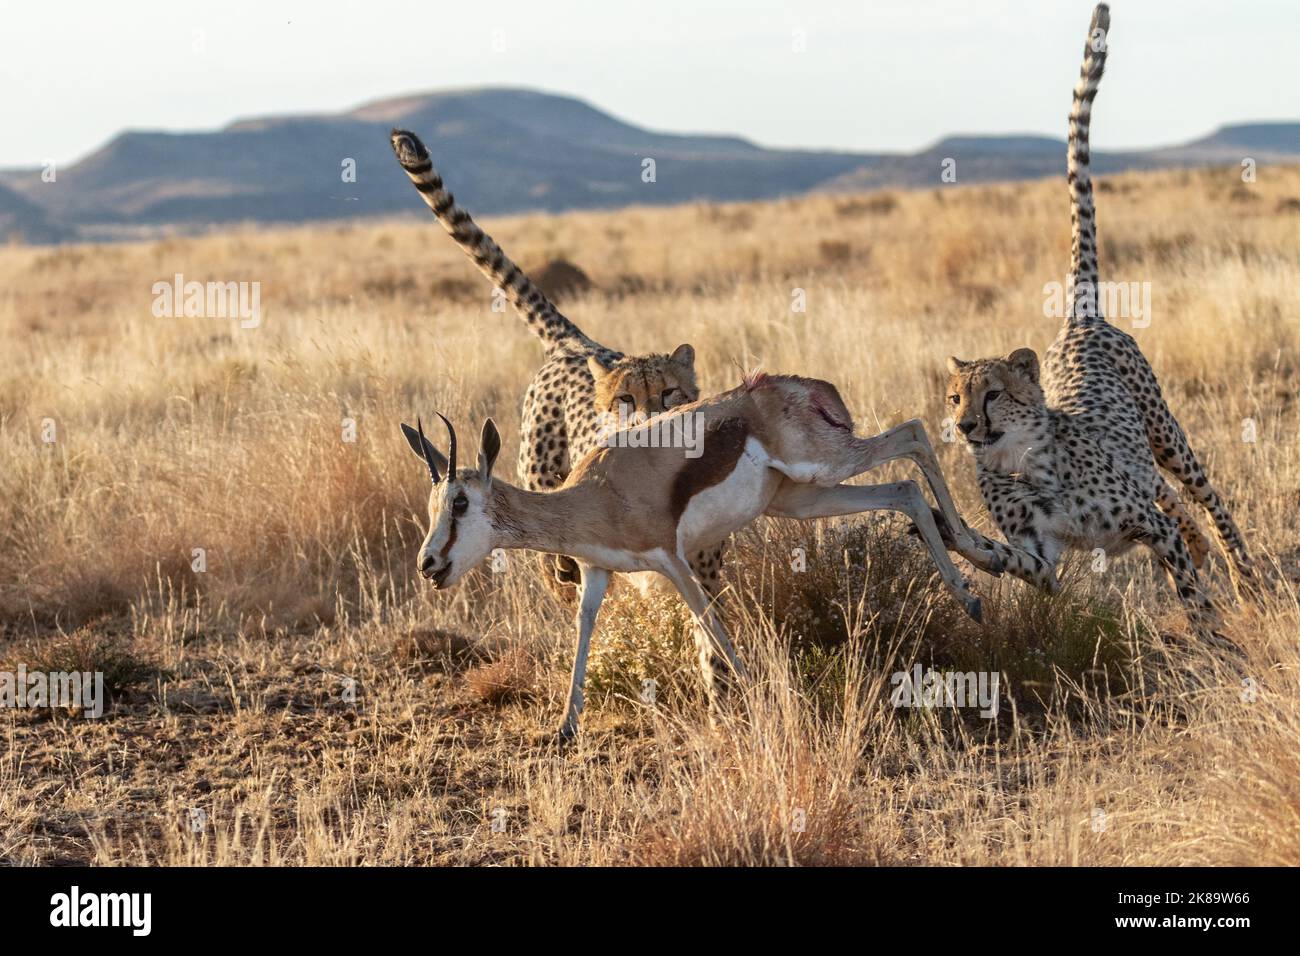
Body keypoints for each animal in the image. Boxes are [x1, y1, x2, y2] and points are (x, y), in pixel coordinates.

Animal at [384, 128, 733, 598]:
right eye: (624, 400)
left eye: (668, 393)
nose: (648, 424)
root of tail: (576, 343)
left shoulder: (702, 565)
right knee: (559, 574)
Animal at [941, 3, 1253, 642]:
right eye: (955, 397)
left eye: (993, 394)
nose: (964, 426)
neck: (1022, 460)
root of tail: (1078, 321)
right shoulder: (1044, 558)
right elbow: (1007, 557)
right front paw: (951, 534)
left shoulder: (1145, 524)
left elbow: (1191, 593)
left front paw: (1215, 642)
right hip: (1144, 460)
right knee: (1170, 497)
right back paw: (1207, 549)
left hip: (1166, 435)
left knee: (1205, 498)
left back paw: (1244, 574)